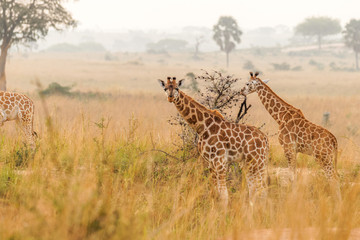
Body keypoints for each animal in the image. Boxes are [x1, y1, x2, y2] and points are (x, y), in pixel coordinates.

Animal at [158, 76, 270, 206]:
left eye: (177, 88)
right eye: (165, 88)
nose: (170, 97)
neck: (203, 127)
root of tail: (265, 139)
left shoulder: (220, 161)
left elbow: (224, 195)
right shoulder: (210, 161)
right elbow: (214, 192)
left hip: (257, 161)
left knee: (262, 190)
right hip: (249, 162)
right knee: (254, 189)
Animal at [239, 71, 340, 199]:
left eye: (247, 83)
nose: (241, 91)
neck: (280, 116)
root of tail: (334, 140)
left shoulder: (288, 147)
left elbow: (292, 175)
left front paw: (293, 197)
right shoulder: (294, 149)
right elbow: (294, 174)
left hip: (323, 156)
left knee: (333, 178)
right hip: (328, 157)